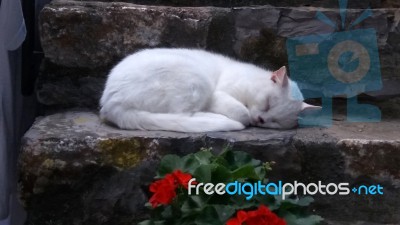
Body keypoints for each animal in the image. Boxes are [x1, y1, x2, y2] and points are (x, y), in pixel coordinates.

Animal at [100, 47, 318, 132]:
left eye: (276, 121)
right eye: (267, 104)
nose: (261, 120)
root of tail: (110, 103)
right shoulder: (218, 94)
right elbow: (243, 112)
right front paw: (245, 116)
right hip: (196, 79)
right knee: (183, 116)